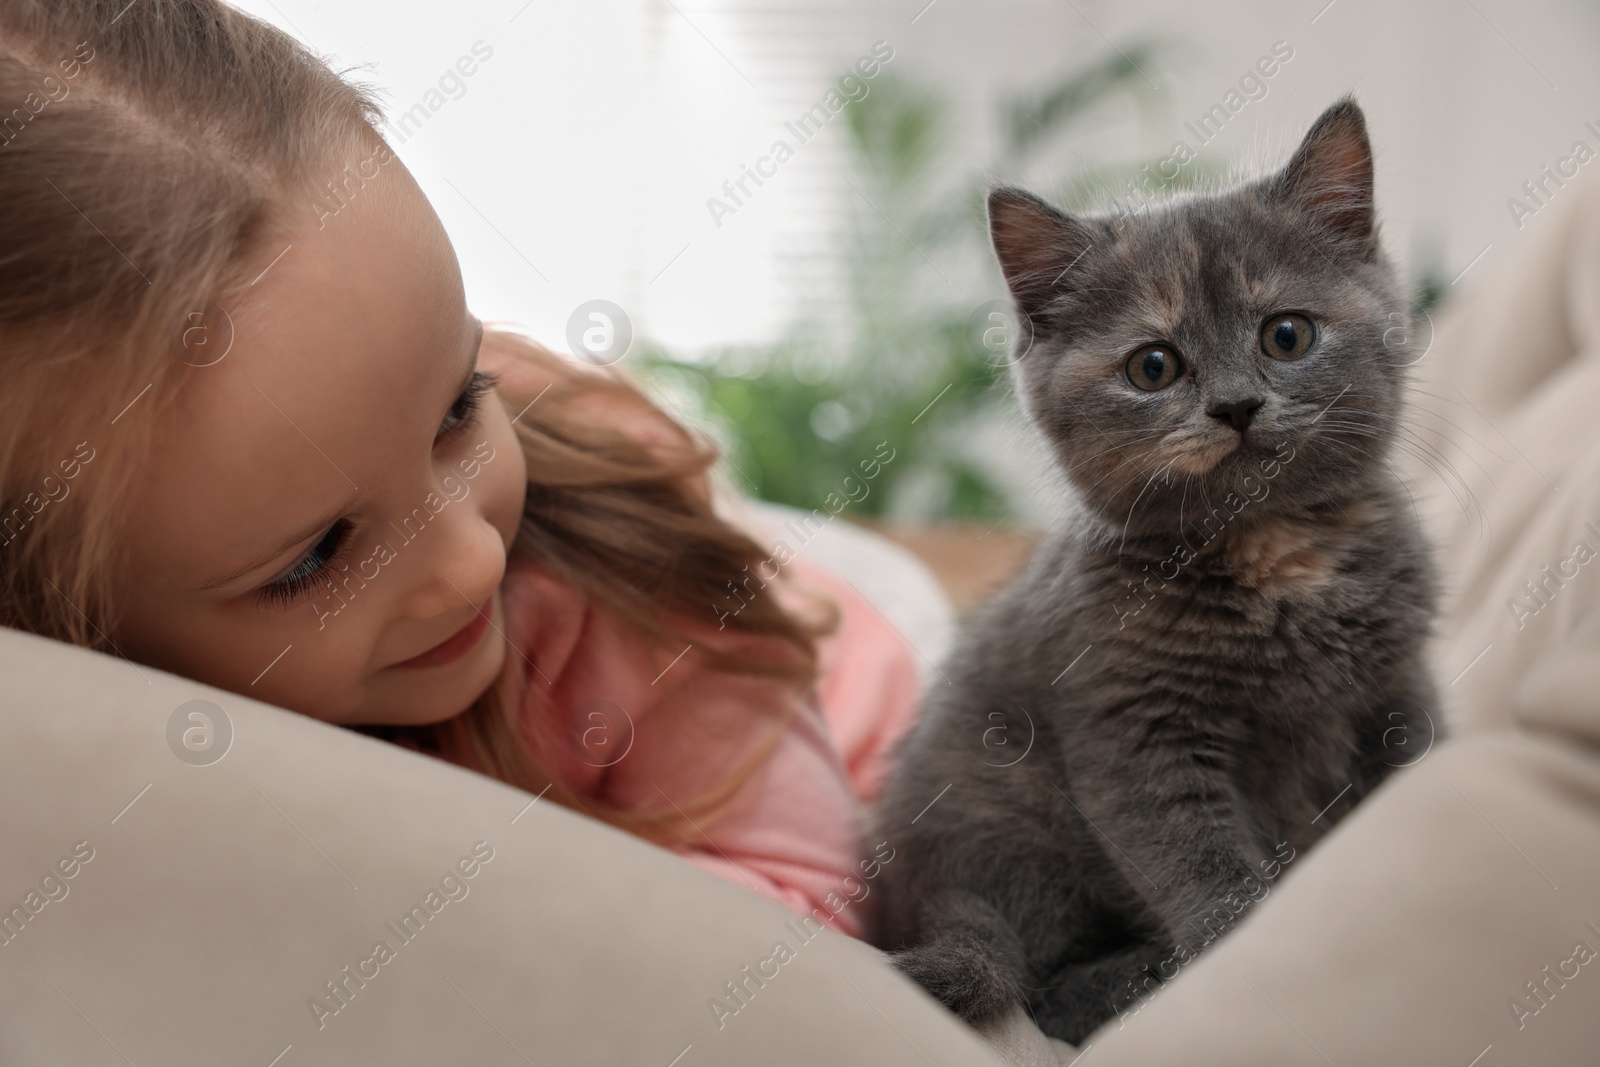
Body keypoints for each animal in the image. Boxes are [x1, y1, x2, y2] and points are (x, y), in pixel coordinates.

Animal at [870, 99, 1446, 1043]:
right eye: (1154, 366)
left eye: (1286, 334)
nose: (1237, 404)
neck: (1275, 558)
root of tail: (914, 886)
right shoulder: (1136, 731)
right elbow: (1204, 873)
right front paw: (1242, 961)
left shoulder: (1398, 687)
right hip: (1005, 804)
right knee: (1039, 985)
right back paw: (1132, 979)